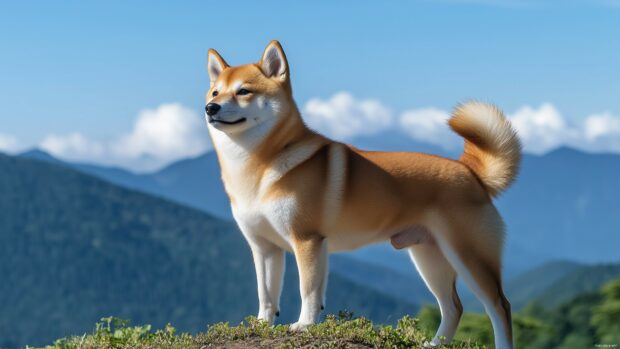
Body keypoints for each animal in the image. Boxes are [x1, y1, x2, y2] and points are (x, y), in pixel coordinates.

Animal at [206, 39, 520, 346]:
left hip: (469, 255)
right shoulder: (265, 247)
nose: (210, 107)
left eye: (243, 91)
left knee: (500, 306)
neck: (258, 166)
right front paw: (260, 326)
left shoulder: (306, 240)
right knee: (454, 307)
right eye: (215, 91)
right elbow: (267, 294)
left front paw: (304, 325)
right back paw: (435, 344)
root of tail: (470, 171)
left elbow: (308, 290)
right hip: (429, 256)